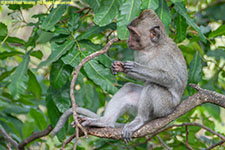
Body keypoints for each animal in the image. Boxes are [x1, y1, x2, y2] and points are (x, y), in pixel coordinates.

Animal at [81, 9, 187, 143]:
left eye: (133, 33)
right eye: (130, 31)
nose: (128, 40)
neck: (152, 48)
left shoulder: (166, 54)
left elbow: (173, 79)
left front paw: (136, 67)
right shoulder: (140, 52)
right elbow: (143, 79)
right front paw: (119, 67)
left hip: (165, 107)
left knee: (153, 86)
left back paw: (140, 120)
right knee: (129, 88)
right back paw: (105, 122)